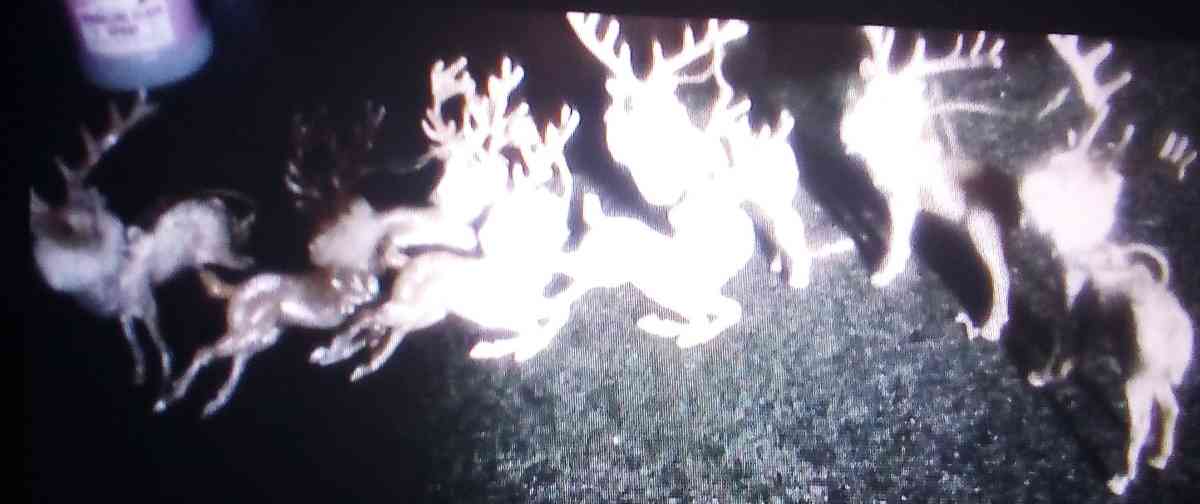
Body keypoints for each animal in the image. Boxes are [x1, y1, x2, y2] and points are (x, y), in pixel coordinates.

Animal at [30, 90, 257, 387]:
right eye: (49, 224)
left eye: (75, 223)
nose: (51, 234)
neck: (106, 281)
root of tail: (217, 205)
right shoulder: (123, 312)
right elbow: (133, 340)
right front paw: (139, 374)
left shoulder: (146, 300)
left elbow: (157, 337)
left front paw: (166, 375)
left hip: (219, 250)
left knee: (244, 259)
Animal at [311, 103, 581, 376]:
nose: (561, 236)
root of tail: (407, 269)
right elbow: (555, 314)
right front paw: (505, 350)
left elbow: (557, 312)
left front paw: (504, 349)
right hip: (406, 308)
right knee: (367, 315)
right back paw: (326, 354)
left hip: (422, 316)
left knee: (387, 330)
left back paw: (362, 363)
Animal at [839, 26, 1011, 341]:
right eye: (861, 93)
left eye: (888, 106)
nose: (845, 135)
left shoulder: (904, 198)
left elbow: (898, 237)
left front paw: (882, 275)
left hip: (982, 224)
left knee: (1002, 274)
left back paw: (988, 328)